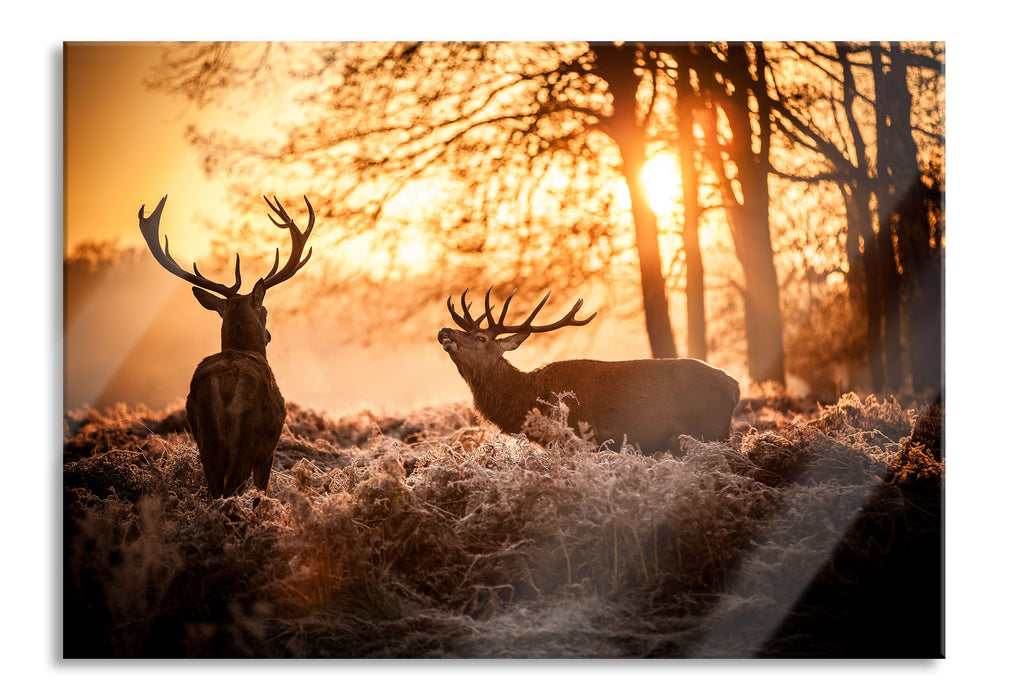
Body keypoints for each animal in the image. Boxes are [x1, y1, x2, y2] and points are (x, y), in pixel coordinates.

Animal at [136, 193, 312, 498]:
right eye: (265, 311)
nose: (268, 335)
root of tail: (227, 382)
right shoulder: (269, 450)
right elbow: (260, 495)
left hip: (205, 436)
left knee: (214, 489)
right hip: (248, 437)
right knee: (231, 490)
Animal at [435, 286, 742, 455]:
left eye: (480, 338)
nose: (444, 330)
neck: (529, 398)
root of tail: (735, 386)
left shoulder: (579, 439)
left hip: (712, 431)